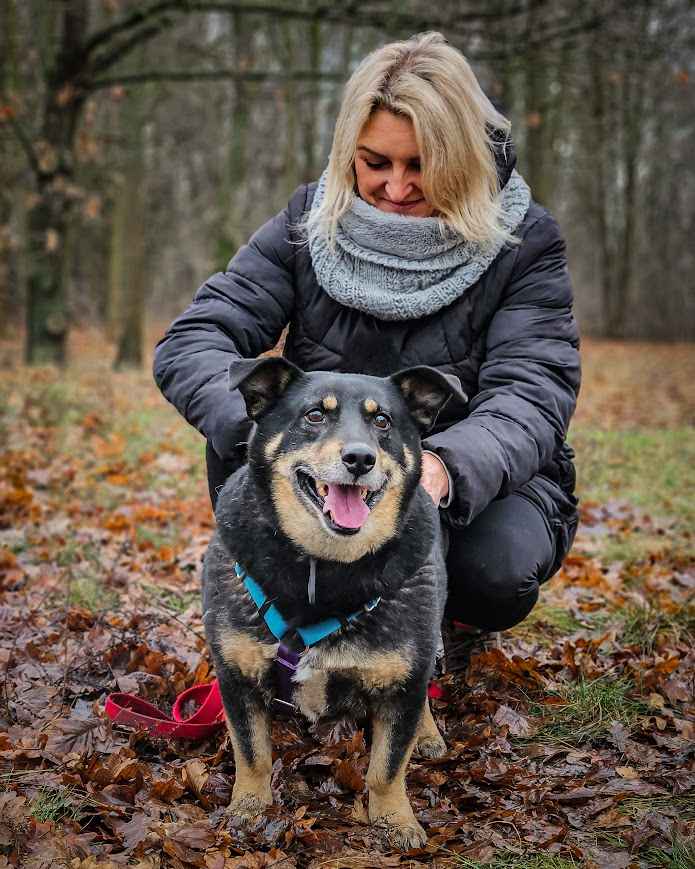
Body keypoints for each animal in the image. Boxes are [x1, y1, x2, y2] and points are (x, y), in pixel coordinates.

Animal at [201, 354, 468, 848]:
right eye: (314, 415)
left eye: (382, 421)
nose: (359, 458)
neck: (323, 568)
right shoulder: (236, 673)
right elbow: (252, 752)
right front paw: (249, 807)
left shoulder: (401, 679)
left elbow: (387, 766)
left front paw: (394, 819)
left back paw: (427, 733)